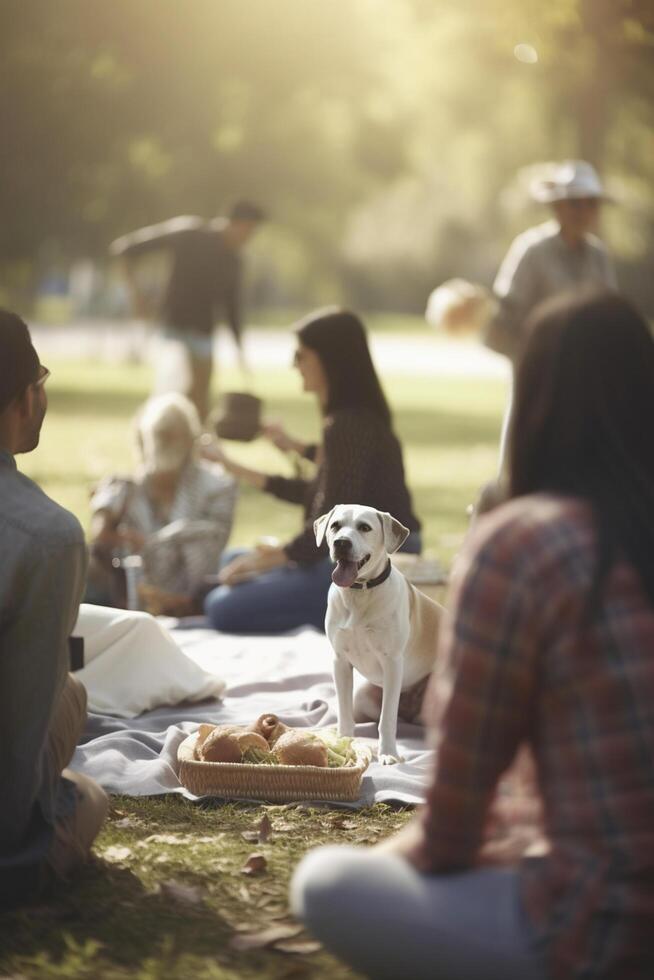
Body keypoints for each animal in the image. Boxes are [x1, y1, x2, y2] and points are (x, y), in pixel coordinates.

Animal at [316, 506, 444, 764]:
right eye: (335, 525)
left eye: (365, 527)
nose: (341, 542)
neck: (359, 593)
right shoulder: (340, 662)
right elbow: (344, 713)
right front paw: (344, 741)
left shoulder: (392, 663)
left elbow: (387, 719)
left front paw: (388, 753)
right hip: (363, 695)